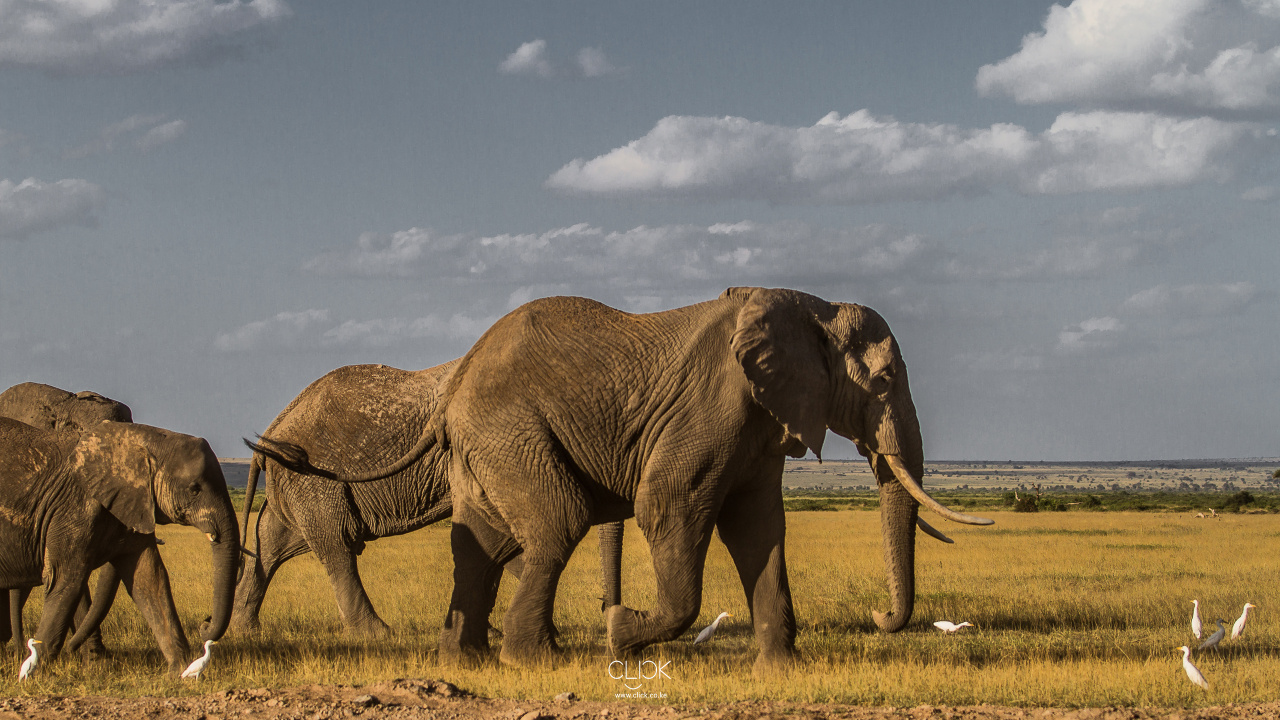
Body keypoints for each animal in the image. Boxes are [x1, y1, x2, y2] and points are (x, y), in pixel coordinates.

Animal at [0, 417, 241, 673]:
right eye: (194, 488)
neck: (142, 439)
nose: (205, 624)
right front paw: (36, 670)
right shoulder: (74, 508)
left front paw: (181, 670)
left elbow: (151, 580)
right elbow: (65, 579)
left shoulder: (134, 504)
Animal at [239, 360, 624, 637]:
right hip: (314, 483)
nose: (607, 611)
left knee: (272, 543)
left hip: (298, 483)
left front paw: (495, 631)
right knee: (336, 546)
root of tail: (270, 431)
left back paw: (246, 628)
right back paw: (377, 634)